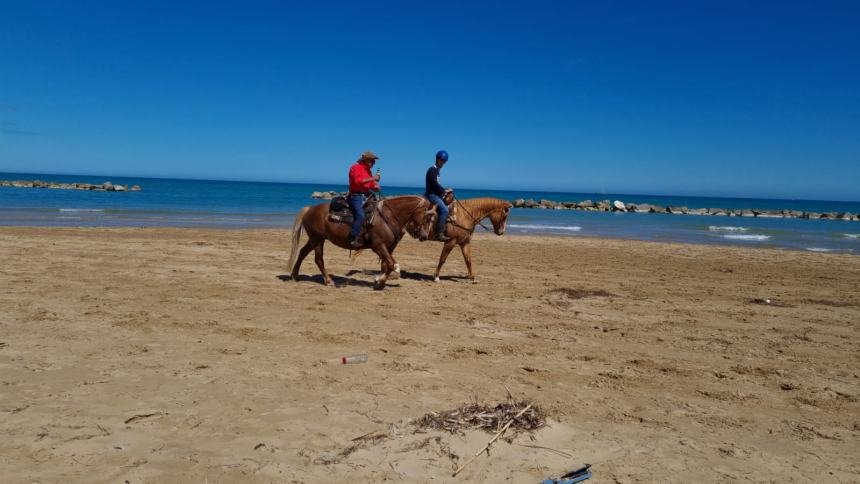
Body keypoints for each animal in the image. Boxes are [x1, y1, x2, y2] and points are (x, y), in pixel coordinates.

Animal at [288, 195, 434, 290]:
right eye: (427, 217)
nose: (424, 236)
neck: (388, 217)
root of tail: (309, 209)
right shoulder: (378, 246)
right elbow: (390, 264)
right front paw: (379, 280)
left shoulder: (389, 247)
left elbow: (388, 265)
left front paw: (380, 282)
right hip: (317, 239)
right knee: (318, 259)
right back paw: (328, 281)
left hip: (315, 239)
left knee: (302, 253)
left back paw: (295, 275)